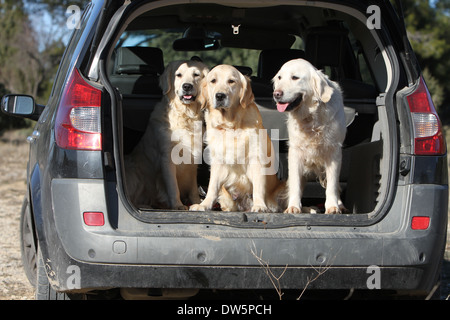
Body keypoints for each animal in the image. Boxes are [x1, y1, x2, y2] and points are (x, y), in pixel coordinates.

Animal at [125, 60, 209, 210]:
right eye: (178, 75)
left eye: (196, 75)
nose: (187, 86)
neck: (185, 115)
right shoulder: (167, 157)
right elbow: (173, 187)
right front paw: (178, 205)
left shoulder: (193, 158)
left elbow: (193, 187)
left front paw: (197, 203)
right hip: (133, 173)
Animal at [189, 64, 284, 212]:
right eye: (213, 81)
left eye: (231, 81)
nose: (220, 96)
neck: (231, 125)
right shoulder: (217, 161)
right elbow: (212, 187)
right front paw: (204, 204)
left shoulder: (256, 159)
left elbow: (258, 186)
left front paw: (259, 205)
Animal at [270, 58, 348, 214]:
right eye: (279, 78)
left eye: (295, 77)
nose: (276, 94)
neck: (310, 118)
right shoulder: (295, 152)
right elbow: (295, 184)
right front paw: (293, 207)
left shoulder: (334, 152)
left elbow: (332, 184)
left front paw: (333, 206)